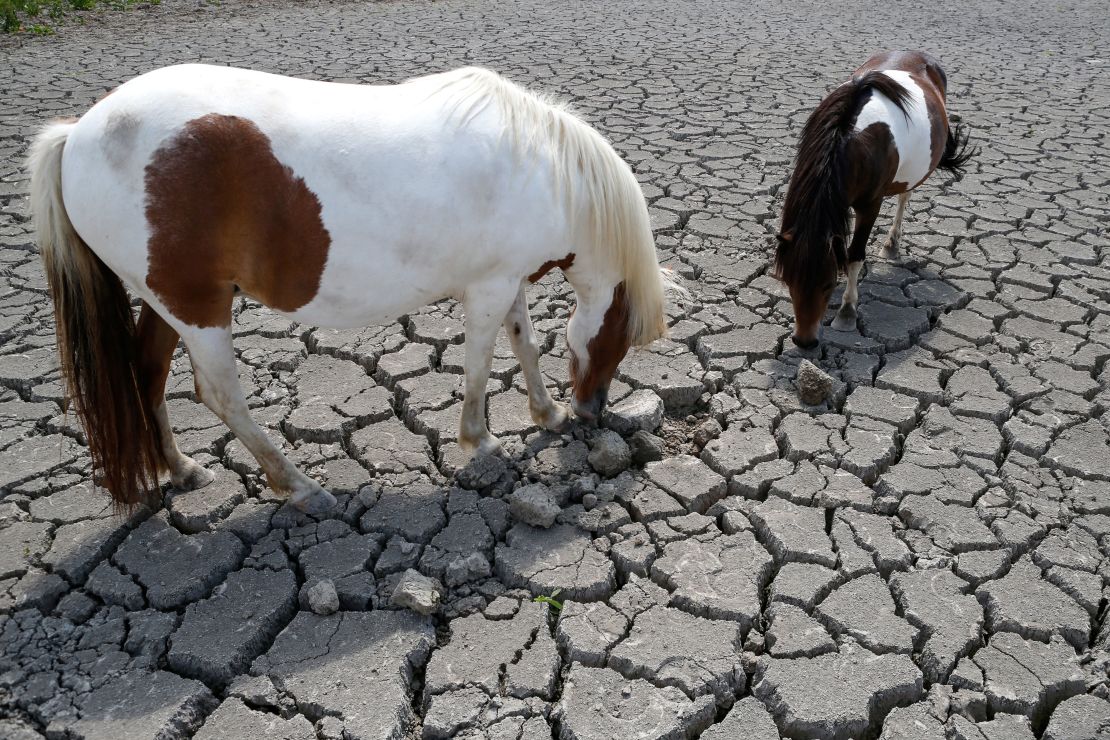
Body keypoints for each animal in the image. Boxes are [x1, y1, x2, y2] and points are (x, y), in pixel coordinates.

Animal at [28, 63, 674, 514]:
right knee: (220, 395)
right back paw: (298, 486)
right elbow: (480, 364)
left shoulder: (507, 279)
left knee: (148, 374)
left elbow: (527, 345)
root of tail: (78, 133)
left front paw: (547, 412)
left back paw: (181, 468)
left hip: (166, 303)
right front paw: (482, 441)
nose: (593, 410)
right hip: (198, 309)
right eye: (622, 336)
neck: (538, 167)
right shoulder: (489, 287)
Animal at [772, 52, 972, 348]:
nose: (804, 341)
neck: (849, 138)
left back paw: (891, 245)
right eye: (788, 280)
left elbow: (854, 256)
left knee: (904, 197)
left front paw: (846, 312)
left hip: (909, 178)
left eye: (827, 284)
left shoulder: (870, 206)